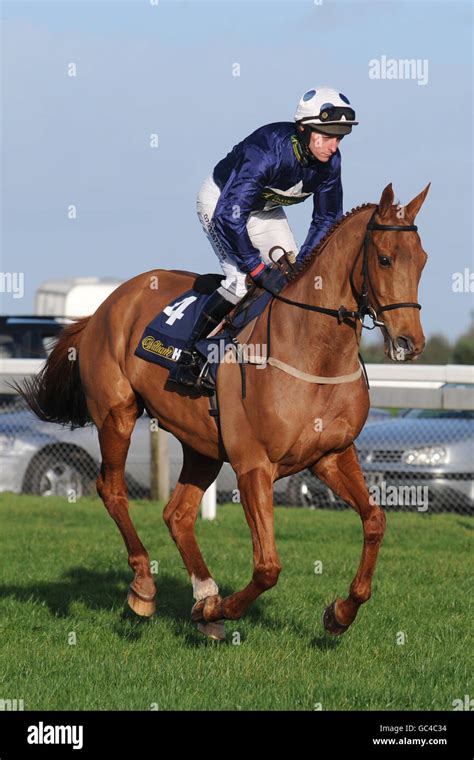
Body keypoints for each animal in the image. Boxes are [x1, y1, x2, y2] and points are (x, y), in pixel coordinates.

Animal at [16, 184, 430, 640]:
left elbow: (375, 519)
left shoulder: (331, 456)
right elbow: (267, 567)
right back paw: (145, 587)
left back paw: (204, 591)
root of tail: (105, 307)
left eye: (422, 259)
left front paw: (340, 612)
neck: (314, 353)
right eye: (385, 258)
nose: (410, 342)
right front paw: (219, 609)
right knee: (112, 489)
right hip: (117, 413)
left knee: (177, 514)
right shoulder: (254, 464)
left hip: (202, 445)